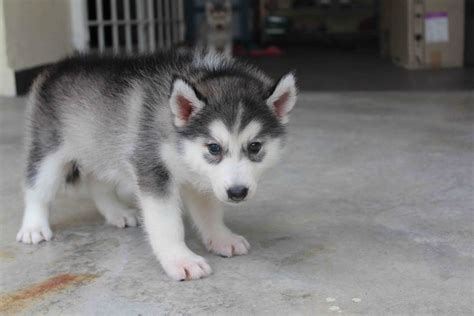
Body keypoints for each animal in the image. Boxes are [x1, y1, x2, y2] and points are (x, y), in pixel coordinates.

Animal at [17, 50, 296, 282]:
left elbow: (209, 212)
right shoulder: (152, 168)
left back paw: (116, 212)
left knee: (98, 181)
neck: (175, 133)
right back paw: (33, 227)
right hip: (50, 148)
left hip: (101, 145)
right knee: (37, 187)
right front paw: (181, 260)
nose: (237, 193)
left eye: (255, 147)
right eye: (214, 148)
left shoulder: (201, 177)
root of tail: (60, 65)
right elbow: (167, 223)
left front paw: (221, 238)